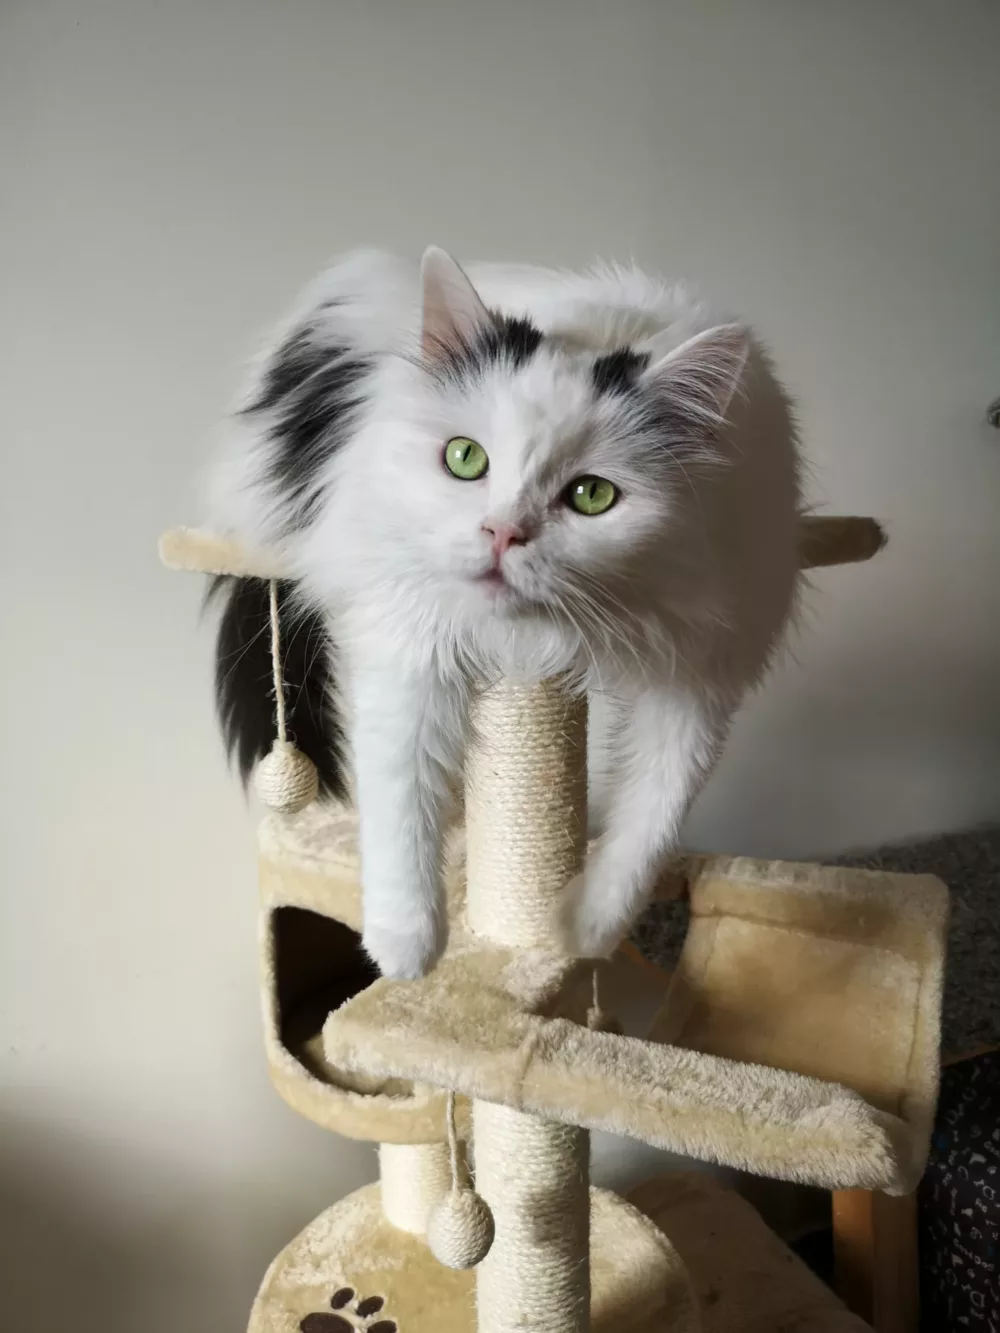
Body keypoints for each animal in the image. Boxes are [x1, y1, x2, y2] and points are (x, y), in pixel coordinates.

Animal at [208, 250, 805, 981]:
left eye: (592, 495)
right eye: (465, 458)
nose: (502, 532)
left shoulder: (702, 675)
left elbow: (651, 821)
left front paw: (584, 929)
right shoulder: (408, 643)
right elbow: (400, 798)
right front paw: (406, 949)